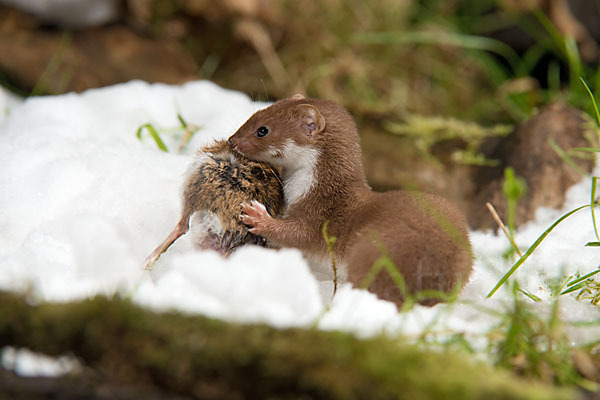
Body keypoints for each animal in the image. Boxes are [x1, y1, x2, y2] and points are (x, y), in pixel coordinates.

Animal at [230, 94, 474, 306]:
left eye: (263, 130)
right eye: (257, 112)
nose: (232, 141)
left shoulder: (318, 213)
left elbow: (296, 234)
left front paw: (258, 216)